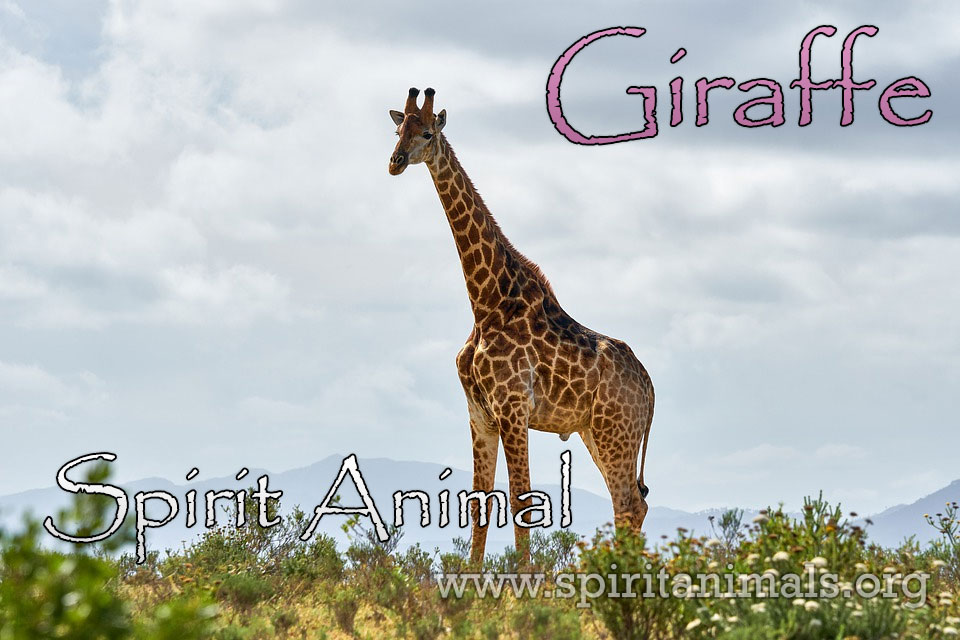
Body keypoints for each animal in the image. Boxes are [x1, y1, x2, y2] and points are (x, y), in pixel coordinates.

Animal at [388, 87, 655, 565]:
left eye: (428, 132)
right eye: (398, 130)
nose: (396, 161)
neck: (485, 303)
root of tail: (649, 386)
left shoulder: (513, 408)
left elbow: (521, 502)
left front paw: (523, 583)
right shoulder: (480, 414)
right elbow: (479, 504)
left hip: (616, 431)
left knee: (628, 503)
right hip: (596, 432)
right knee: (630, 503)